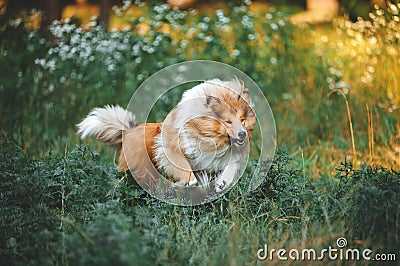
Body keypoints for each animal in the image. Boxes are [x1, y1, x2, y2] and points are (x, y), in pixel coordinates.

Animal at [77, 78, 256, 192]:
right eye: (228, 121)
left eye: (242, 119)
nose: (242, 135)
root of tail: (127, 131)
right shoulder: (170, 148)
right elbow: (181, 164)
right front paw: (189, 181)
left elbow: (231, 166)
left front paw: (221, 184)